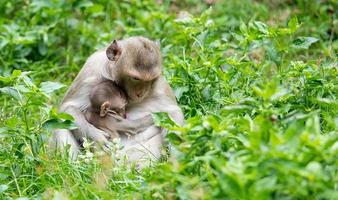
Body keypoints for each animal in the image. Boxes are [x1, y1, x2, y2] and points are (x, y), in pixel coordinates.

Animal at [49, 36, 185, 165]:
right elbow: (69, 108)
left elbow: (173, 113)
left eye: (150, 79)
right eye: (135, 78)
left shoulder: (159, 85)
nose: (141, 93)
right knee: (61, 124)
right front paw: (97, 136)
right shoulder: (93, 70)